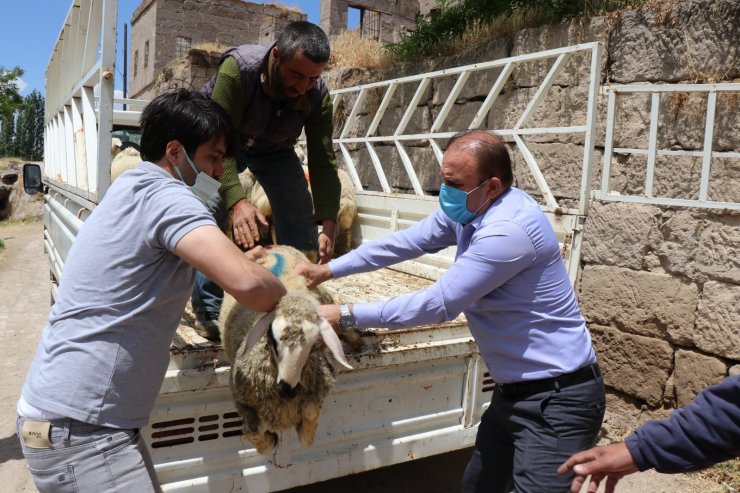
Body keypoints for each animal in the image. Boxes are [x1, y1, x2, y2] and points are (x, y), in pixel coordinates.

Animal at [218, 246, 356, 454]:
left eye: (314, 345)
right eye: (272, 337)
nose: (287, 389)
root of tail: (274, 247)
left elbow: (310, 412)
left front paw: (306, 434)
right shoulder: (241, 400)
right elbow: (254, 433)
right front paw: (270, 441)